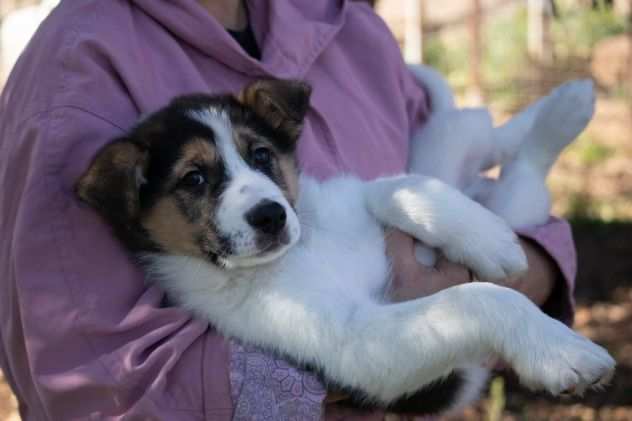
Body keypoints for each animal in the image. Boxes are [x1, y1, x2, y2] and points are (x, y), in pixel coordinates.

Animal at [76, 78, 616, 414]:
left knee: (473, 134)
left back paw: (564, 106)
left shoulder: (345, 198)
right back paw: (561, 115)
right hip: (512, 194)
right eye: (193, 178)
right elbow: (476, 299)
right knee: (517, 168)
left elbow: (399, 186)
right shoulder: (356, 342)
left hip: (456, 156)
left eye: (261, 154)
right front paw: (561, 351)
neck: (303, 248)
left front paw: (488, 239)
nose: (271, 215)